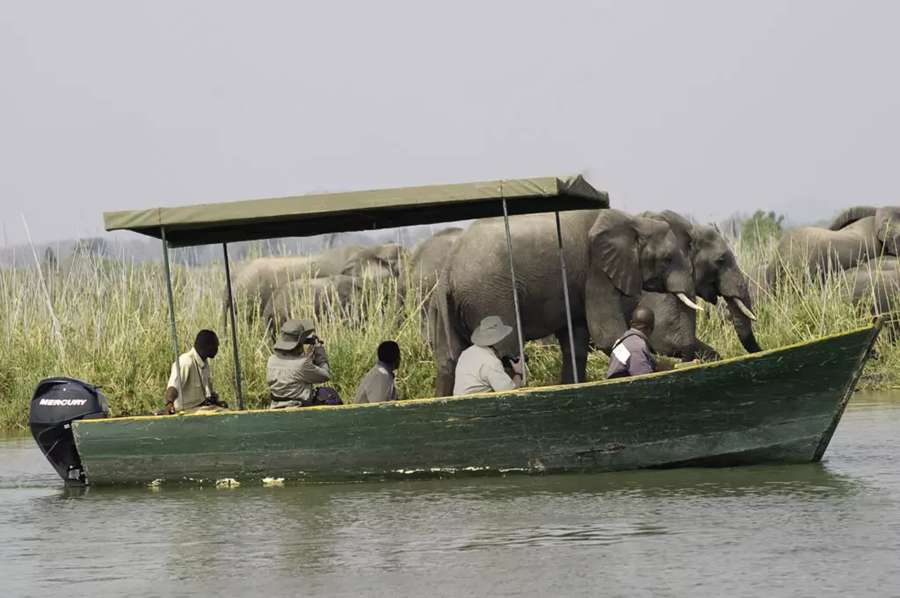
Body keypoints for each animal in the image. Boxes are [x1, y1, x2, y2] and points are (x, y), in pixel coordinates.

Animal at [428, 209, 696, 396]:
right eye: (667, 258)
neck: (633, 222)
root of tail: (448, 268)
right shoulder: (596, 270)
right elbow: (607, 335)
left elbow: (575, 340)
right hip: (490, 297)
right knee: (506, 349)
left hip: (449, 306)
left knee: (448, 360)